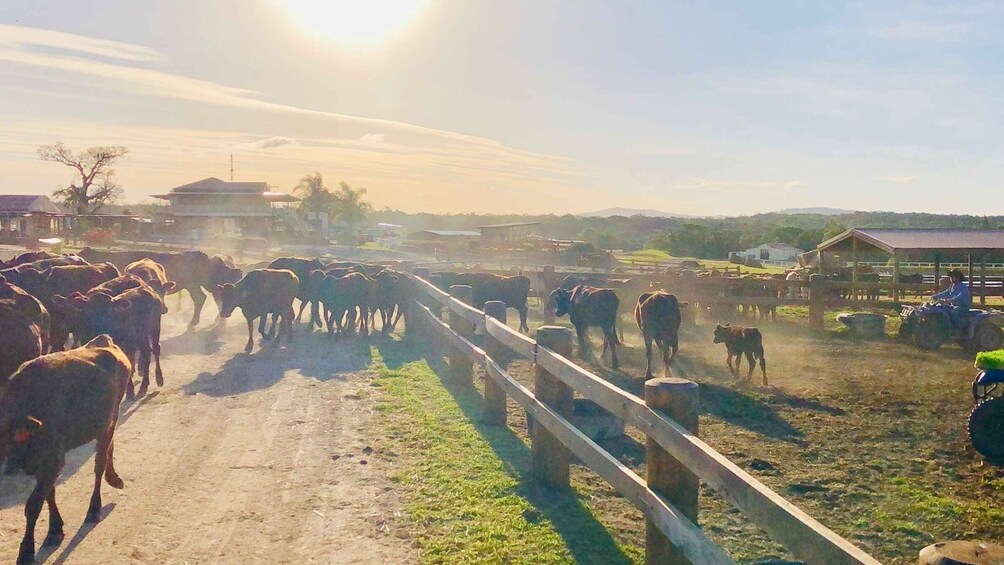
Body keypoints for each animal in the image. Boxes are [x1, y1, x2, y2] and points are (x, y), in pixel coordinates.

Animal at [0, 335, 130, 565]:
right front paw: (54, 530)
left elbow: (33, 505)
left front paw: (26, 551)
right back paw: (113, 478)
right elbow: (49, 493)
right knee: (109, 448)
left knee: (99, 464)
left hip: (109, 421)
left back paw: (94, 508)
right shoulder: (44, 467)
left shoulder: (52, 462)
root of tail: (105, 341)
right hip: (106, 423)